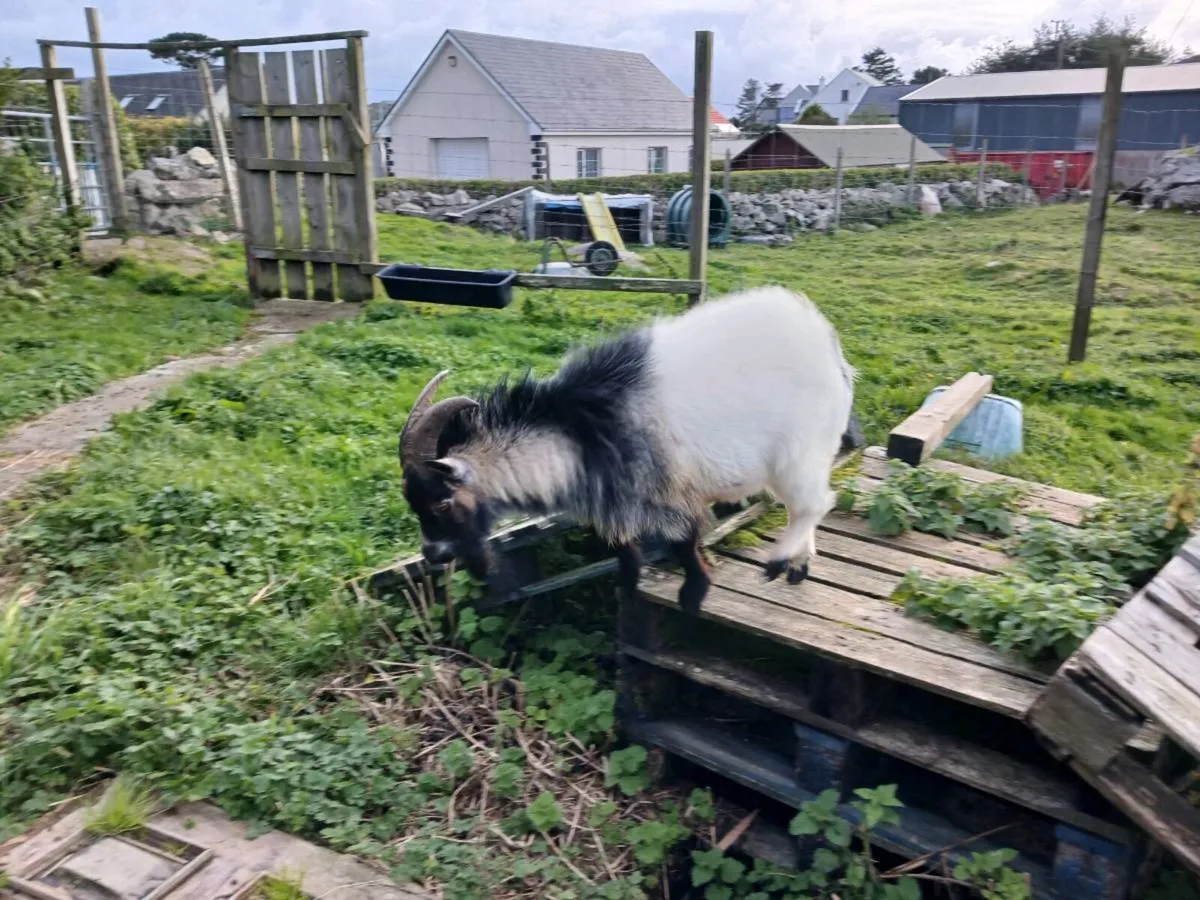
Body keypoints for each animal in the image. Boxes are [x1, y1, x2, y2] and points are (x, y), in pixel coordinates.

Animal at [399, 286, 858, 613]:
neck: (576, 433)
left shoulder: (666, 488)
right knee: (804, 505)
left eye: (441, 502)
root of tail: (827, 344)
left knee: (816, 503)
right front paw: (628, 581)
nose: (432, 554)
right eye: (413, 503)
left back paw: (779, 560)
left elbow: (683, 540)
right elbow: (618, 541)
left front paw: (693, 594)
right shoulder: (612, 497)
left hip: (799, 451)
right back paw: (798, 566)